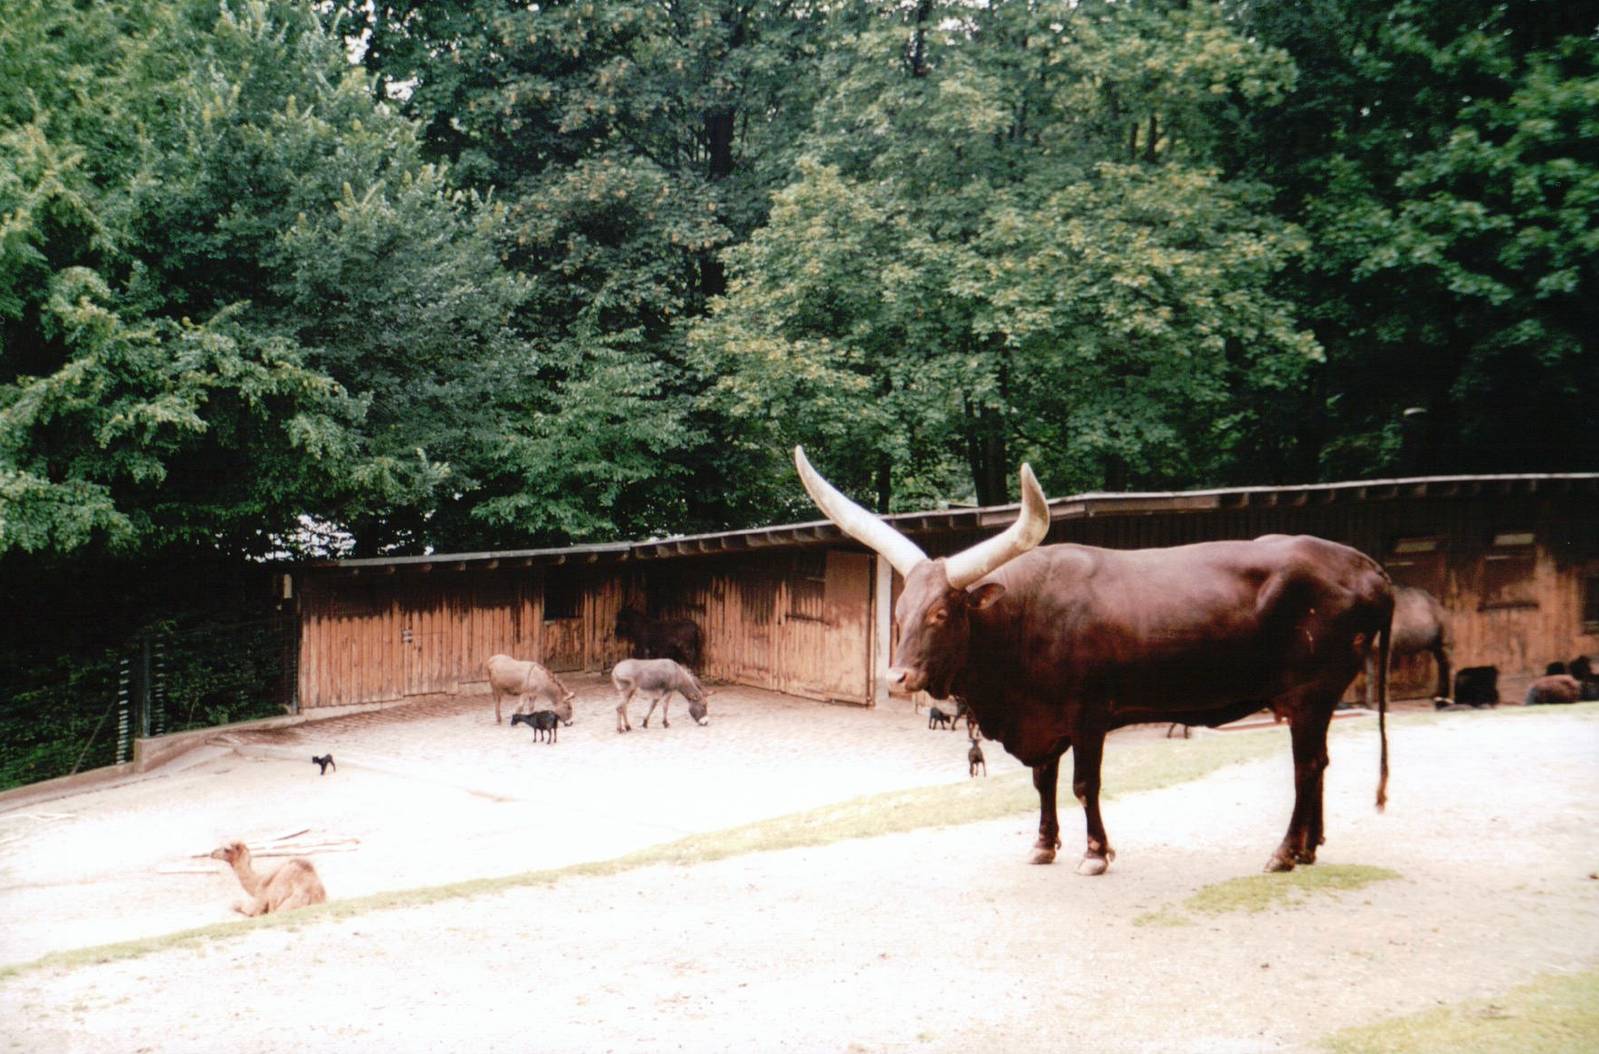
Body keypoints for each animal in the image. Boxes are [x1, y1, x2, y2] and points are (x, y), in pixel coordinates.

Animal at [794, 446, 1393, 876]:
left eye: (942, 613)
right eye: (900, 612)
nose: (898, 677)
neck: (1023, 618)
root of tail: (1366, 568)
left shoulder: (1088, 716)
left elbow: (1084, 784)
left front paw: (1096, 854)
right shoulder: (1042, 720)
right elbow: (1043, 781)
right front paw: (1043, 846)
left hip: (1310, 693)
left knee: (1305, 766)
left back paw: (1285, 853)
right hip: (1317, 700)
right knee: (1319, 763)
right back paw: (1310, 848)